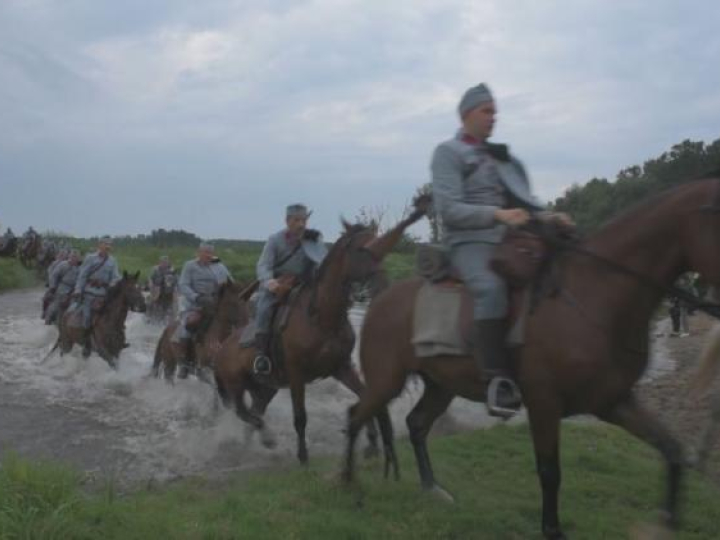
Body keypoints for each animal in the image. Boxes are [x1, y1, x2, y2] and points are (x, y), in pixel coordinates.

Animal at [212, 199, 428, 464]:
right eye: (362, 250)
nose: (382, 286)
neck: (322, 318)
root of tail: (221, 350)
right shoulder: (296, 374)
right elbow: (300, 416)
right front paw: (303, 456)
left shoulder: (341, 367)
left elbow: (364, 396)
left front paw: (371, 444)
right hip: (235, 387)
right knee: (244, 413)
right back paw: (266, 439)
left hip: (265, 388)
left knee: (254, 413)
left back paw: (255, 442)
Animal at [340, 176, 720, 536]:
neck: (593, 297)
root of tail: (381, 299)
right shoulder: (544, 402)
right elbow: (550, 471)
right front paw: (552, 530)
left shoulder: (613, 401)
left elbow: (671, 449)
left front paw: (665, 522)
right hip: (387, 380)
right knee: (356, 415)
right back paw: (349, 484)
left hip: (440, 384)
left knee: (416, 425)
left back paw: (432, 488)